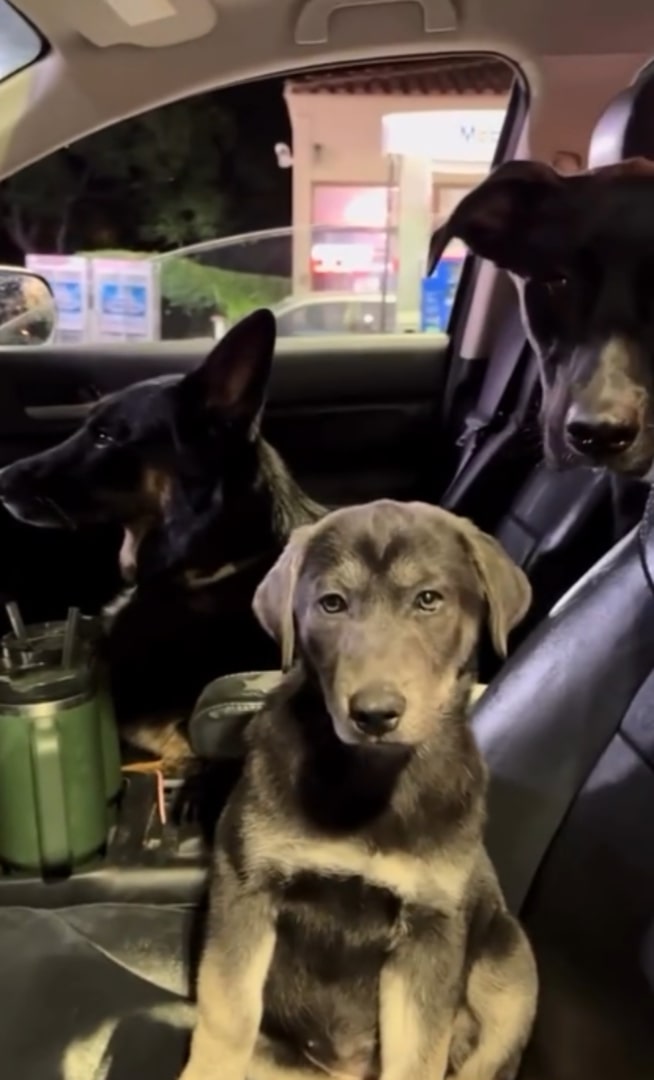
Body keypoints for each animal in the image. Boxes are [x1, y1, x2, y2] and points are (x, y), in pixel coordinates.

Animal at [182, 498, 541, 1080]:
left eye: (428, 600)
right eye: (332, 604)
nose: (374, 713)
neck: (368, 777)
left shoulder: (431, 926)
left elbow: (419, 1053)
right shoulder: (246, 884)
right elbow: (228, 1013)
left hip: (512, 962)